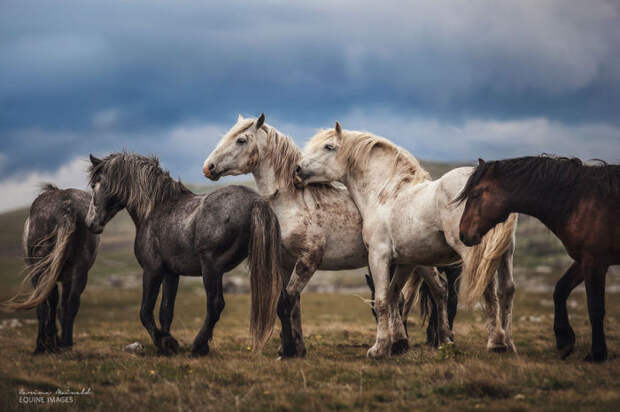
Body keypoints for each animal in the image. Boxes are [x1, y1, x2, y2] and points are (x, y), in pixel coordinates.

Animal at [3, 185, 99, 352]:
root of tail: (66, 206)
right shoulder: (66, 278)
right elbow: (63, 306)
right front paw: (58, 340)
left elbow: (46, 305)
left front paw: (48, 340)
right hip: (79, 269)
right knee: (72, 303)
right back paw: (66, 343)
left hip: (41, 269)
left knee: (46, 302)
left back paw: (43, 344)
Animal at [86, 153, 282, 356]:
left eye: (94, 185)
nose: (90, 223)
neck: (154, 209)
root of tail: (257, 201)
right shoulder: (171, 273)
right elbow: (166, 310)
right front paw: (168, 342)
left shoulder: (152, 270)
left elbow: (145, 311)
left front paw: (164, 343)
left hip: (211, 269)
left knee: (215, 305)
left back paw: (198, 346)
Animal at [202, 114, 432, 356]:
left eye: (241, 140)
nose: (208, 167)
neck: (292, 202)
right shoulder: (285, 264)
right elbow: (293, 305)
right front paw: (296, 348)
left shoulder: (309, 259)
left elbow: (287, 302)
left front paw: (289, 350)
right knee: (398, 298)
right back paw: (399, 344)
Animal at [298, 122, 520, 358]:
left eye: (328, 146)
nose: (298, 169)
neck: (385, 194)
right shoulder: (406, 261)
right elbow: (395, 296)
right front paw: (399, 342)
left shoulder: (378, 256)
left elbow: (382, 300)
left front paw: (379, 348)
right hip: (505, 252)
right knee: (506, 290)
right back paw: (507, 343)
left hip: (473, 251)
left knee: (488, 289)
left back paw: (495, 343)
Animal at [458, 156, 616, 362]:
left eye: (475, 194)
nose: (462, 234)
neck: (579, 201)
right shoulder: (584, 260)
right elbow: (560, 290)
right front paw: (564, 340)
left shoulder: (594, 260)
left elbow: (595, 307)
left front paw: (597, 353)